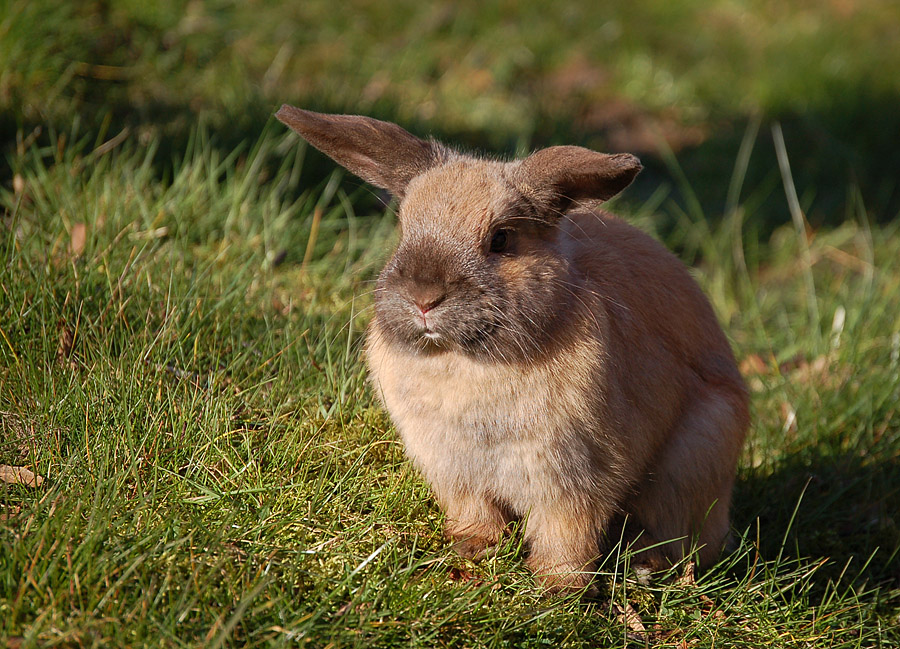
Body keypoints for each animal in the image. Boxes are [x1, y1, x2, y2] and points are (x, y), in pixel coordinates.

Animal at [276, 102, 752, 592]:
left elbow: (567, 535)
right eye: (404, 228)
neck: (464, 360)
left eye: (501, 239)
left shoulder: (575, 478)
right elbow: (476, 514)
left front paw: (558, 587)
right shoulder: (455, 473)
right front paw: (472, 548)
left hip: (694, 457)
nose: (424, 298)